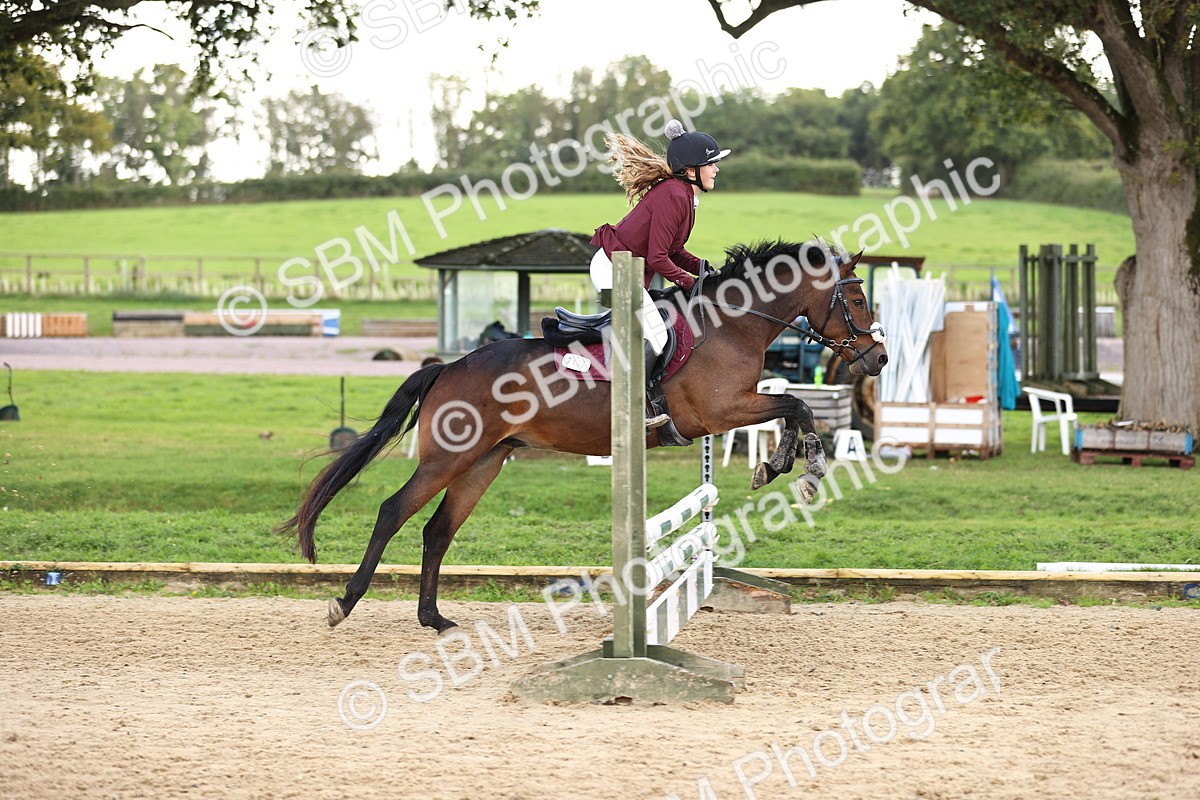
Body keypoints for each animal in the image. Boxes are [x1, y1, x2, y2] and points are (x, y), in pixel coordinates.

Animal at [278, 239, 888, 634]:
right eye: (858, 301)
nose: (879, 358)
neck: (732, 322)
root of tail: (447, 367)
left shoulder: (735, 409)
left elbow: (793, 408)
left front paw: (780, 465)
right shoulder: (719, 412)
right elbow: (798, 405)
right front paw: (803, 469)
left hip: (484, 462)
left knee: (436, 531)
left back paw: (434, 619)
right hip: (448, 459)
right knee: (392, 511)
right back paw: (345, 602)